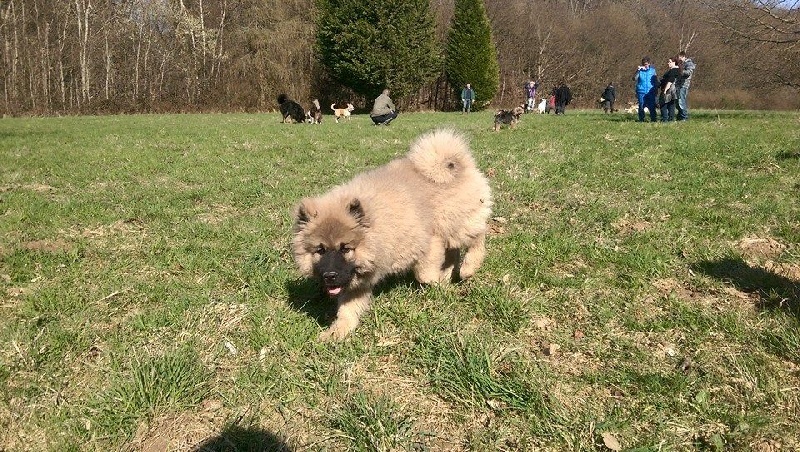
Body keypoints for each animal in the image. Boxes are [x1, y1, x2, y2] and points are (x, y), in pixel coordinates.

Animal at [294, 129, 494, 340]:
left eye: (345, 249)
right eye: (320, 250)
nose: (330, 276)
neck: (377, 223)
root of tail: (460, 164)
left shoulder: (427, 242)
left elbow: (425, 274)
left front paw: (438, 282)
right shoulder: (355, 279)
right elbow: (347, 309)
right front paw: (336, 332)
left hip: (458, 223)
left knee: (478, 237)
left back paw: (467, 269)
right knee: (454, 252)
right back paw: (448, 274)